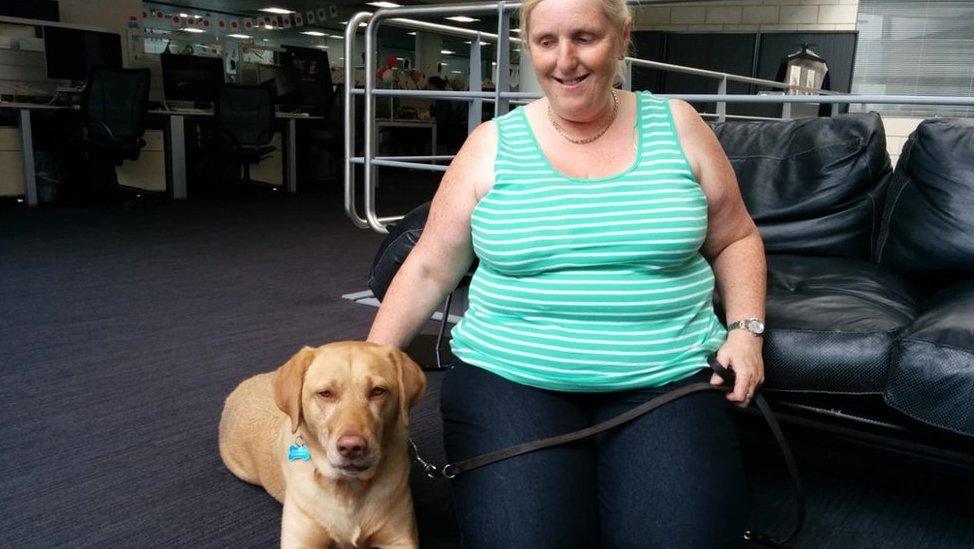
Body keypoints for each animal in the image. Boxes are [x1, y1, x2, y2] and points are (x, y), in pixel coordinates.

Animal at [221, 340, 428, 544]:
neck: (349, 488)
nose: (352, 447)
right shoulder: (298, 540)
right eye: (325, 393)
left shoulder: (400, 538)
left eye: (378, 391)